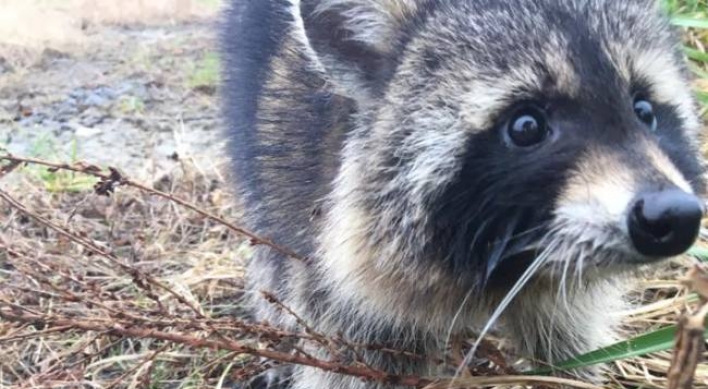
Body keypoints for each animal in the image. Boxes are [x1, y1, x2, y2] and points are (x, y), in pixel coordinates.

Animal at [218, 0, 704, 384]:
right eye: (526, 126)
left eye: (644, 111)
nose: (673, 215)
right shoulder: (327, 248)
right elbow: (354, 355)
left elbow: (568, 341)